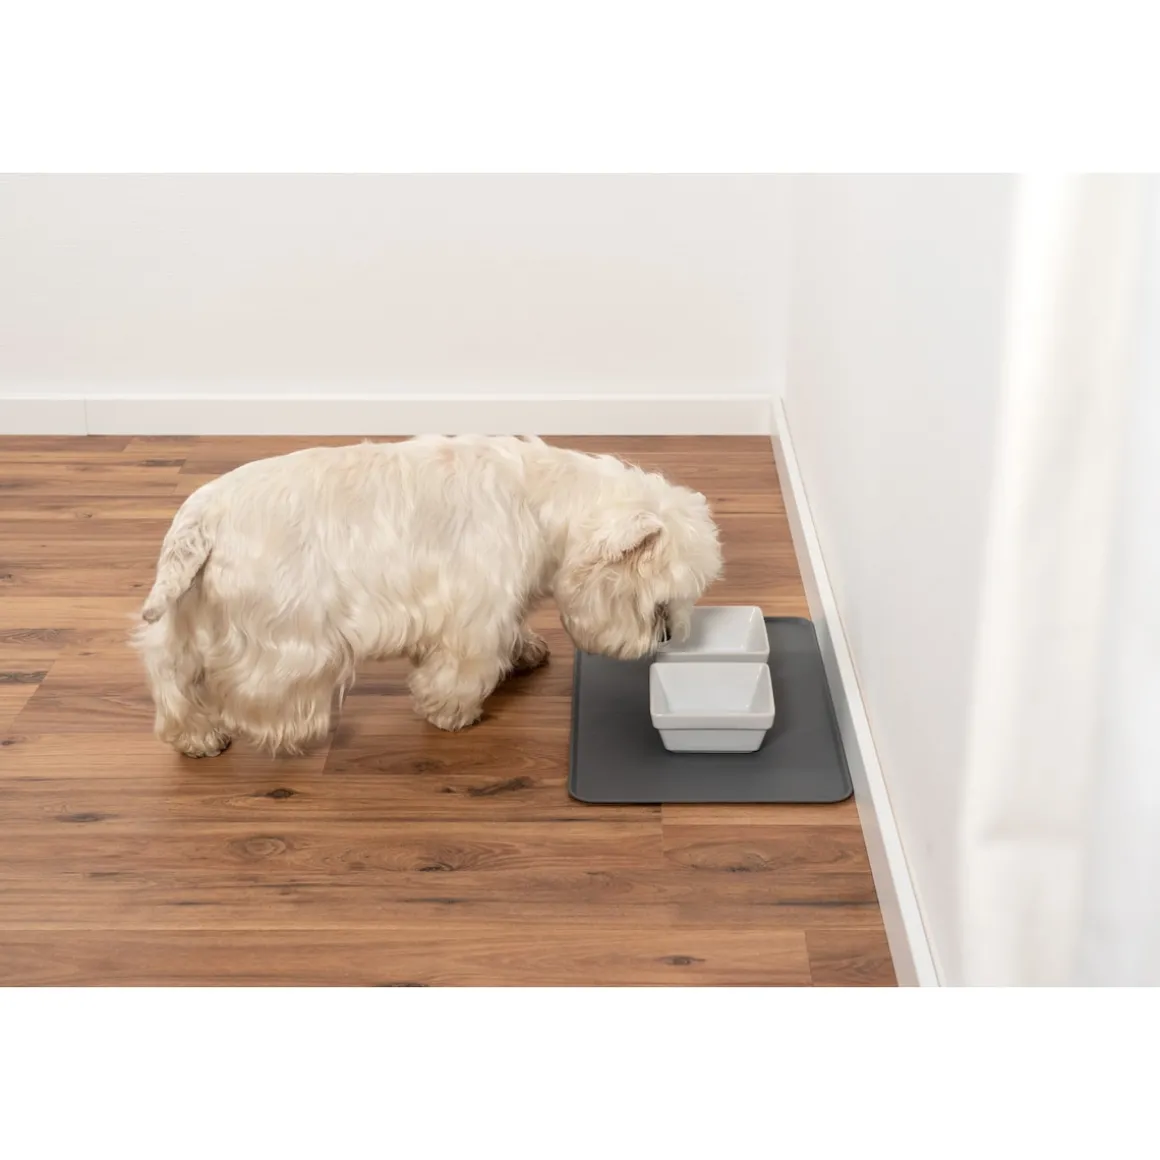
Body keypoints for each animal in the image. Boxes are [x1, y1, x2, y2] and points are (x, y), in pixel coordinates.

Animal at [134, 435, 723, 757]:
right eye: (659, 603)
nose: (664, 637)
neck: (541, 502)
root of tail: (200, 518)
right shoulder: (475, 611)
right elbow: (462, 667)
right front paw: (451, 712)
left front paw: (525, 652)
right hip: (282, 630)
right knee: (249, 687)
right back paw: (280, 728)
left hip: (183, 613)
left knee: (168, 669)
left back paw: (194, 736)